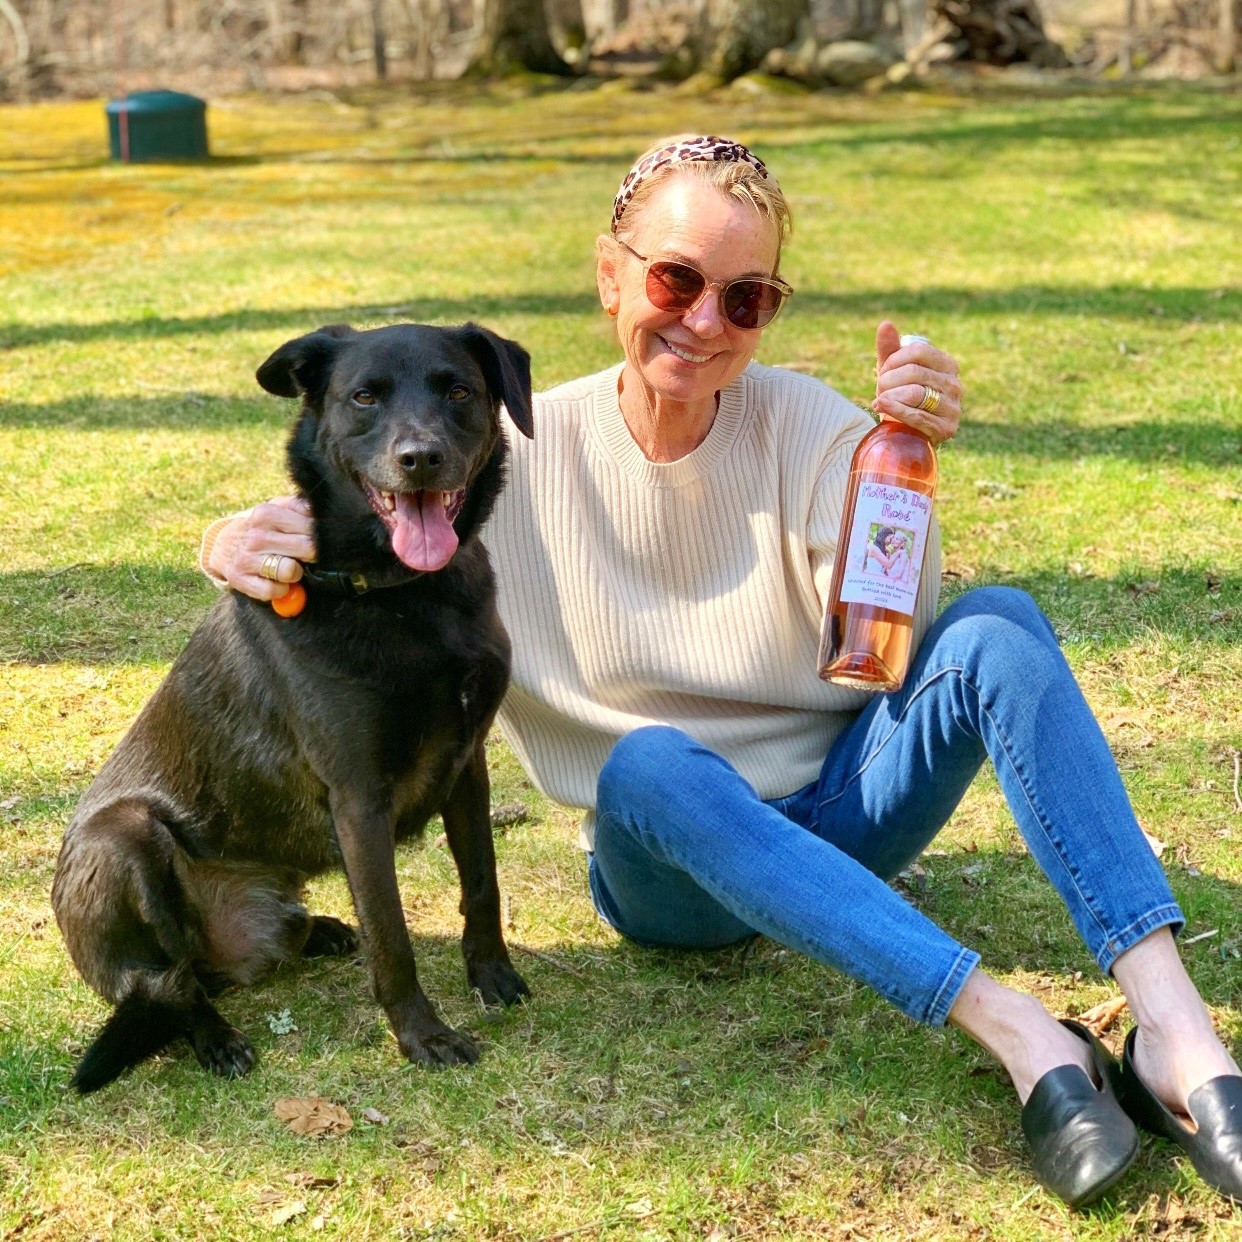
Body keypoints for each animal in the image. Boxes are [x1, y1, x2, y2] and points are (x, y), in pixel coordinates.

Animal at [52, 320, 534, 1087]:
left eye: (459, 391)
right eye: (364, 396)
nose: (420, 459)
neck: (401, 592)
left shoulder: (467, 766)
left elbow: (482, 884)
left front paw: (491, 976)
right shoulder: (358, 799)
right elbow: (392, 934)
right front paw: (422, 1035)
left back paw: (322, 933)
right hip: (122, 837)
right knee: (167, 984)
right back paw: (216, 1038)